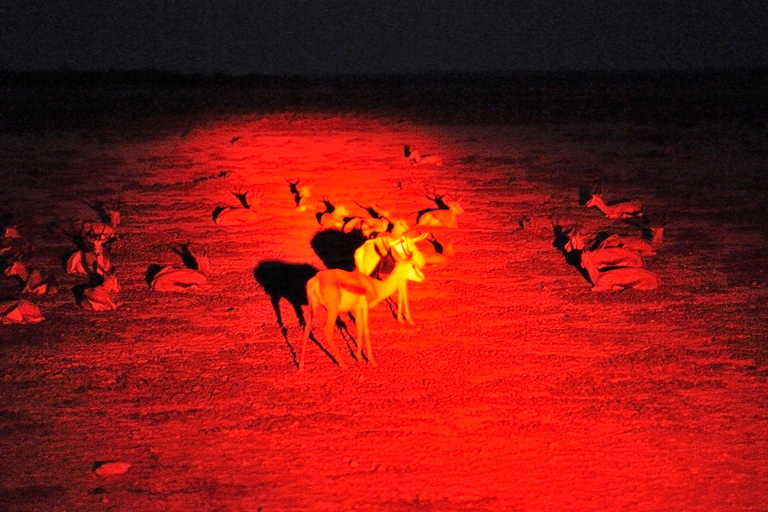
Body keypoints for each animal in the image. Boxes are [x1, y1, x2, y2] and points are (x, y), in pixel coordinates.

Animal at [302, 234, 426, 370]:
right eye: (413, 265)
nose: (422, 277)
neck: (375, 286)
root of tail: (316, 279)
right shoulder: (365, 307)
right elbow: (366, 328)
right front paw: (373, 361)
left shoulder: (358, 308)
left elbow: (359, 327)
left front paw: (359, 358)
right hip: (332, 311)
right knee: (328, 332)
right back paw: (343, 364)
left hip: (313, 308)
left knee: (307, 329)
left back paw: (301, 366)